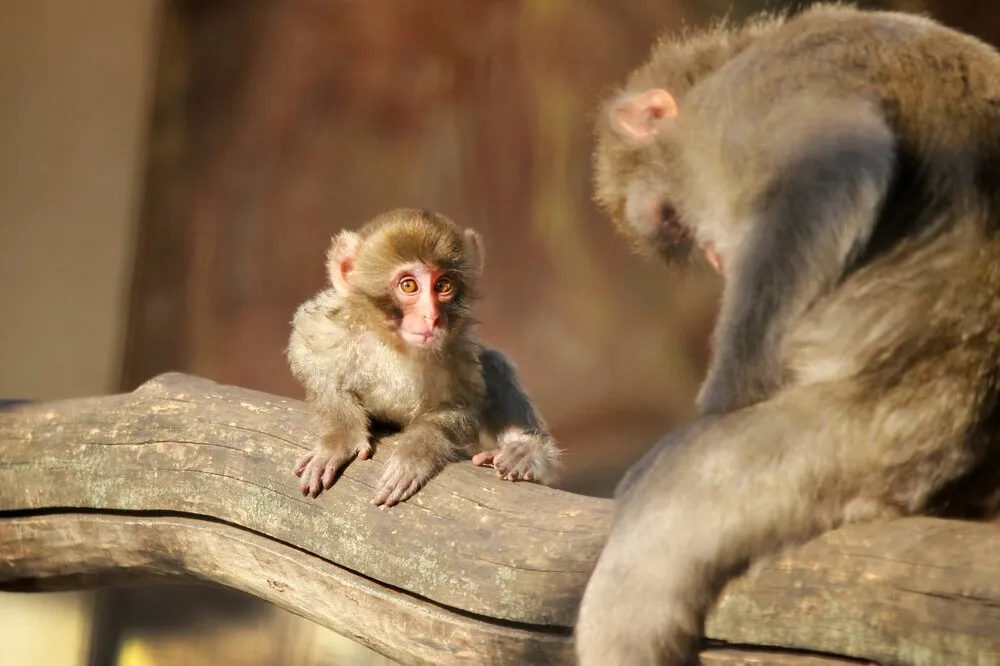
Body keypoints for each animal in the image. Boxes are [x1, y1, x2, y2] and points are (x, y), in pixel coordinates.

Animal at [290, 208, 560, 504]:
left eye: (443, 285)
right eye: (409, 286)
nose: (431, 316)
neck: (397, 345)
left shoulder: (458, 348)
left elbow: (459, 405)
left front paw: (415, 454)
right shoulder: (336, 323)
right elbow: (309, 356)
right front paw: (341, 438)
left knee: (494, 362)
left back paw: (524, 452)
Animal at [576, 5, 1000, 664]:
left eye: (672, 218)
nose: (716, 257)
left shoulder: (750, 96)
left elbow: (829, 169)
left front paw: (725, 395)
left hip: (844, 445)